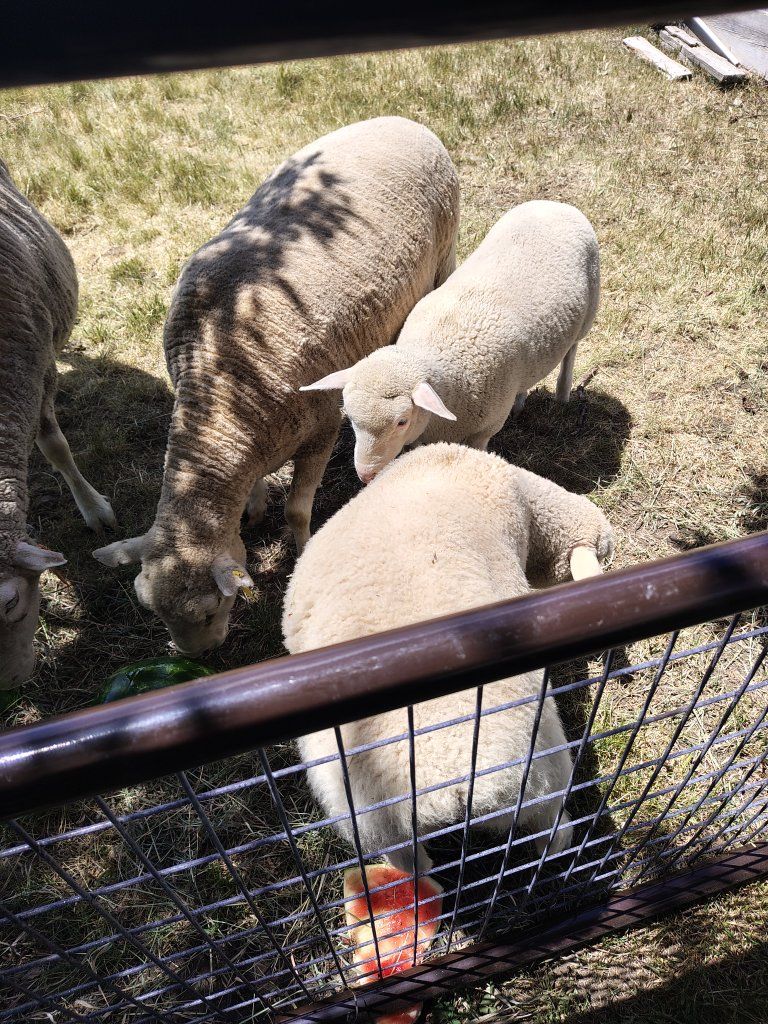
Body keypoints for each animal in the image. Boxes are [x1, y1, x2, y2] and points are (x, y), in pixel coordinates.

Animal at [93, 116, 460, 656]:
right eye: (156, 614)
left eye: (212, 609)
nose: (201, 658)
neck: (222, 393)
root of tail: (401, 120)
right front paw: (254, 504)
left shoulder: (322, 429)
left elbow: (299, 512)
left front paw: (302, 549)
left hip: (446, 250)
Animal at [283, 442, 614, 876]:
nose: (609, 540)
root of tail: (450, 786)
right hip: (547, 773)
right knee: (553, 832)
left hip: (377, 829)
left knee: (415, 868)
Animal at [302, 200, 599, 483]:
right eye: (351, 419)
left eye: (401, 421)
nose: (365, 475)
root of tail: (555, 205)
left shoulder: (483, 432)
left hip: (588, 311)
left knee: (571, 350)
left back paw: (563, 393)